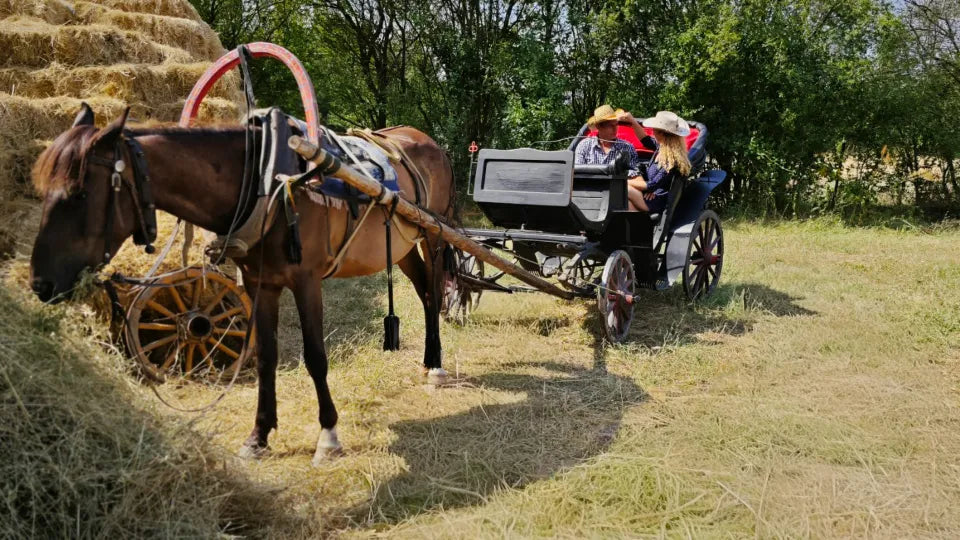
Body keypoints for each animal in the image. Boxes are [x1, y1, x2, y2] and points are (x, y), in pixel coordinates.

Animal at [29, 105, 455, 465]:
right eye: (42, 191)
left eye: (79, 194)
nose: (39, 283)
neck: (266, 181)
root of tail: (431, 142)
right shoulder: (259, 283)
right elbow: (265, 356)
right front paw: (259, 437)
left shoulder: (306, 281)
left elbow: (315, 356)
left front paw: (328, 436)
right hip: (403, 244)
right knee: (424, 292)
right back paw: (427, 362)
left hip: (433, 237)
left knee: (435, 293)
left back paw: (437, 366)